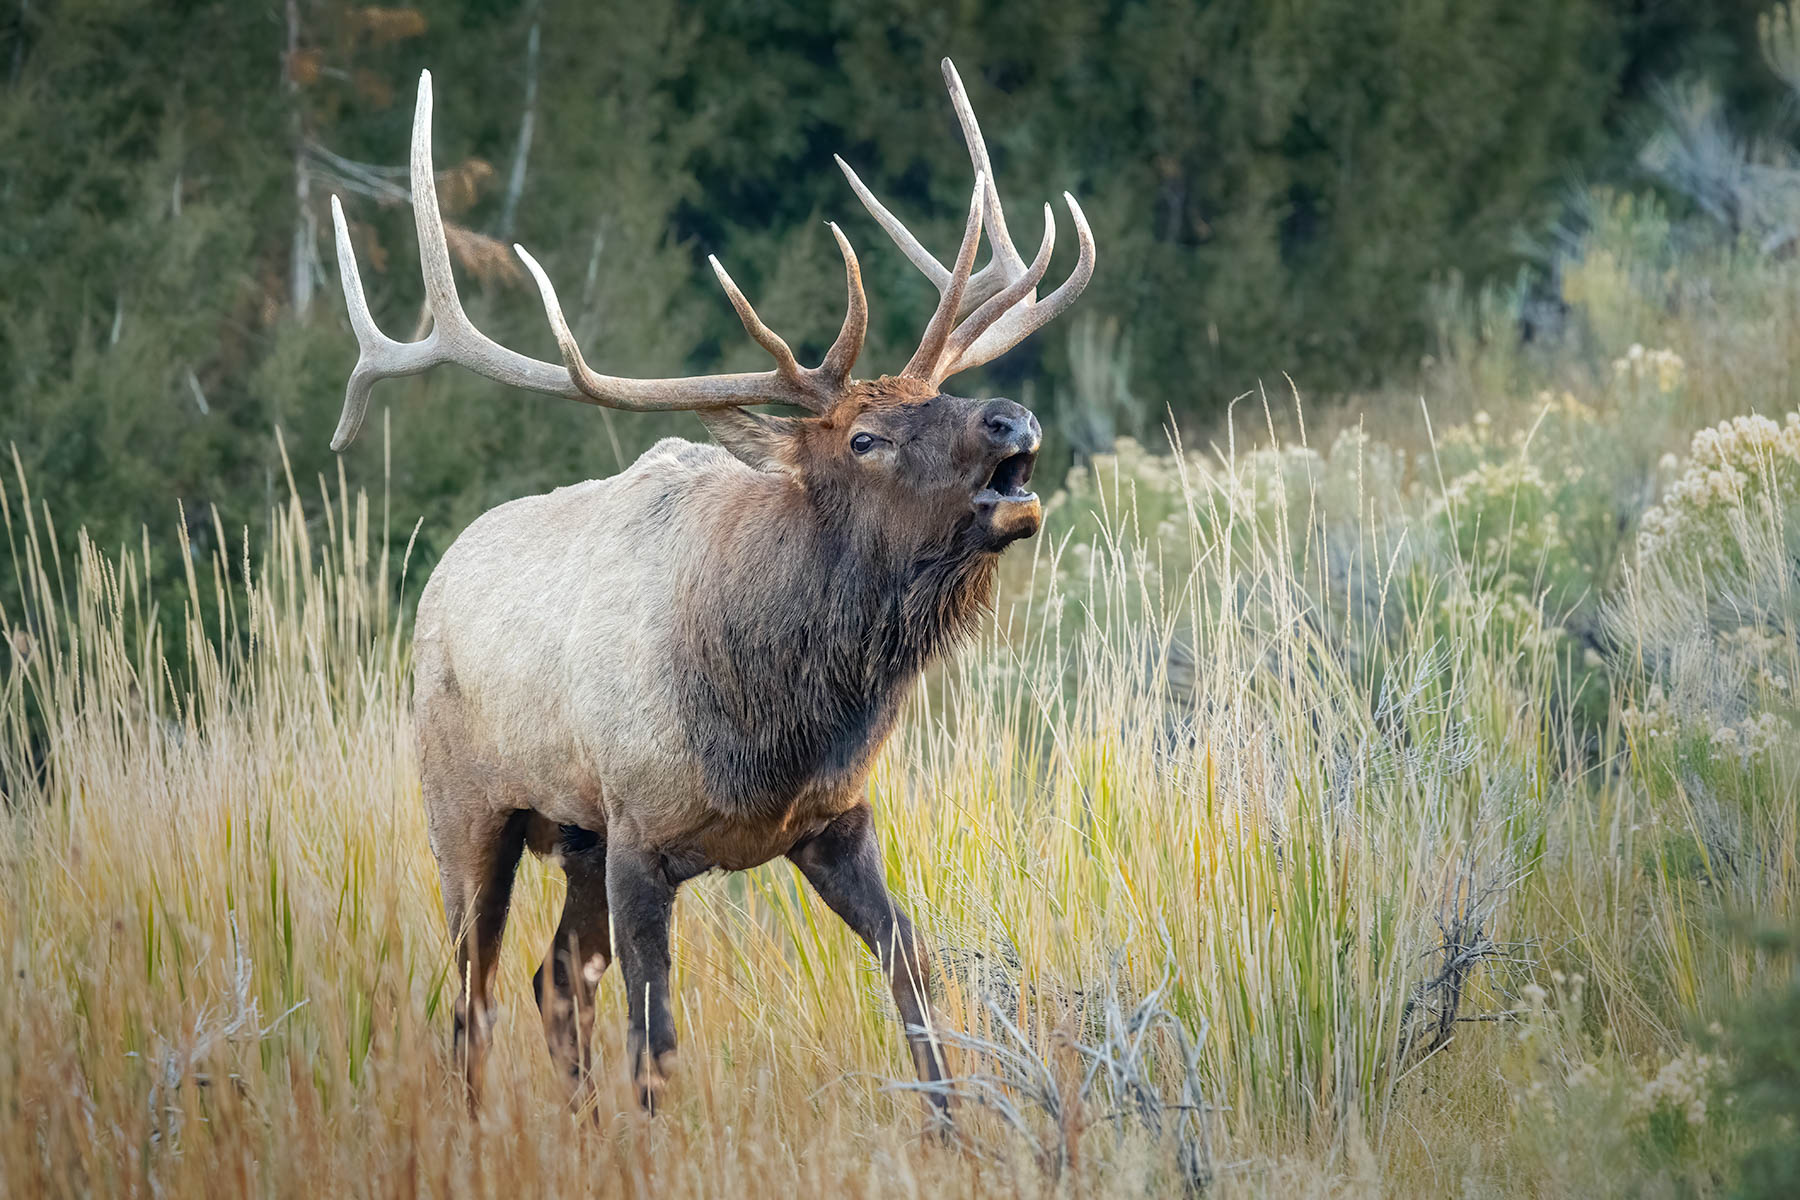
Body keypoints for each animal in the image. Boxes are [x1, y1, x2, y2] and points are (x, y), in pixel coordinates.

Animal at [327, 63, 1094, 1115]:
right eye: (864, 437)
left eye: (938, 396)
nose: (1011, 418)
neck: (770, 719)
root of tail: (438, 580)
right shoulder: (641, 839)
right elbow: (657, 1041)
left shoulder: (833, 820)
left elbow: (912, 965)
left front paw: (955, 1125)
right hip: (469, 812)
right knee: (471, 998)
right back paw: (483, 1128)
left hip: (573, 839)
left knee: (551, 982)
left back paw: (581, 1126)